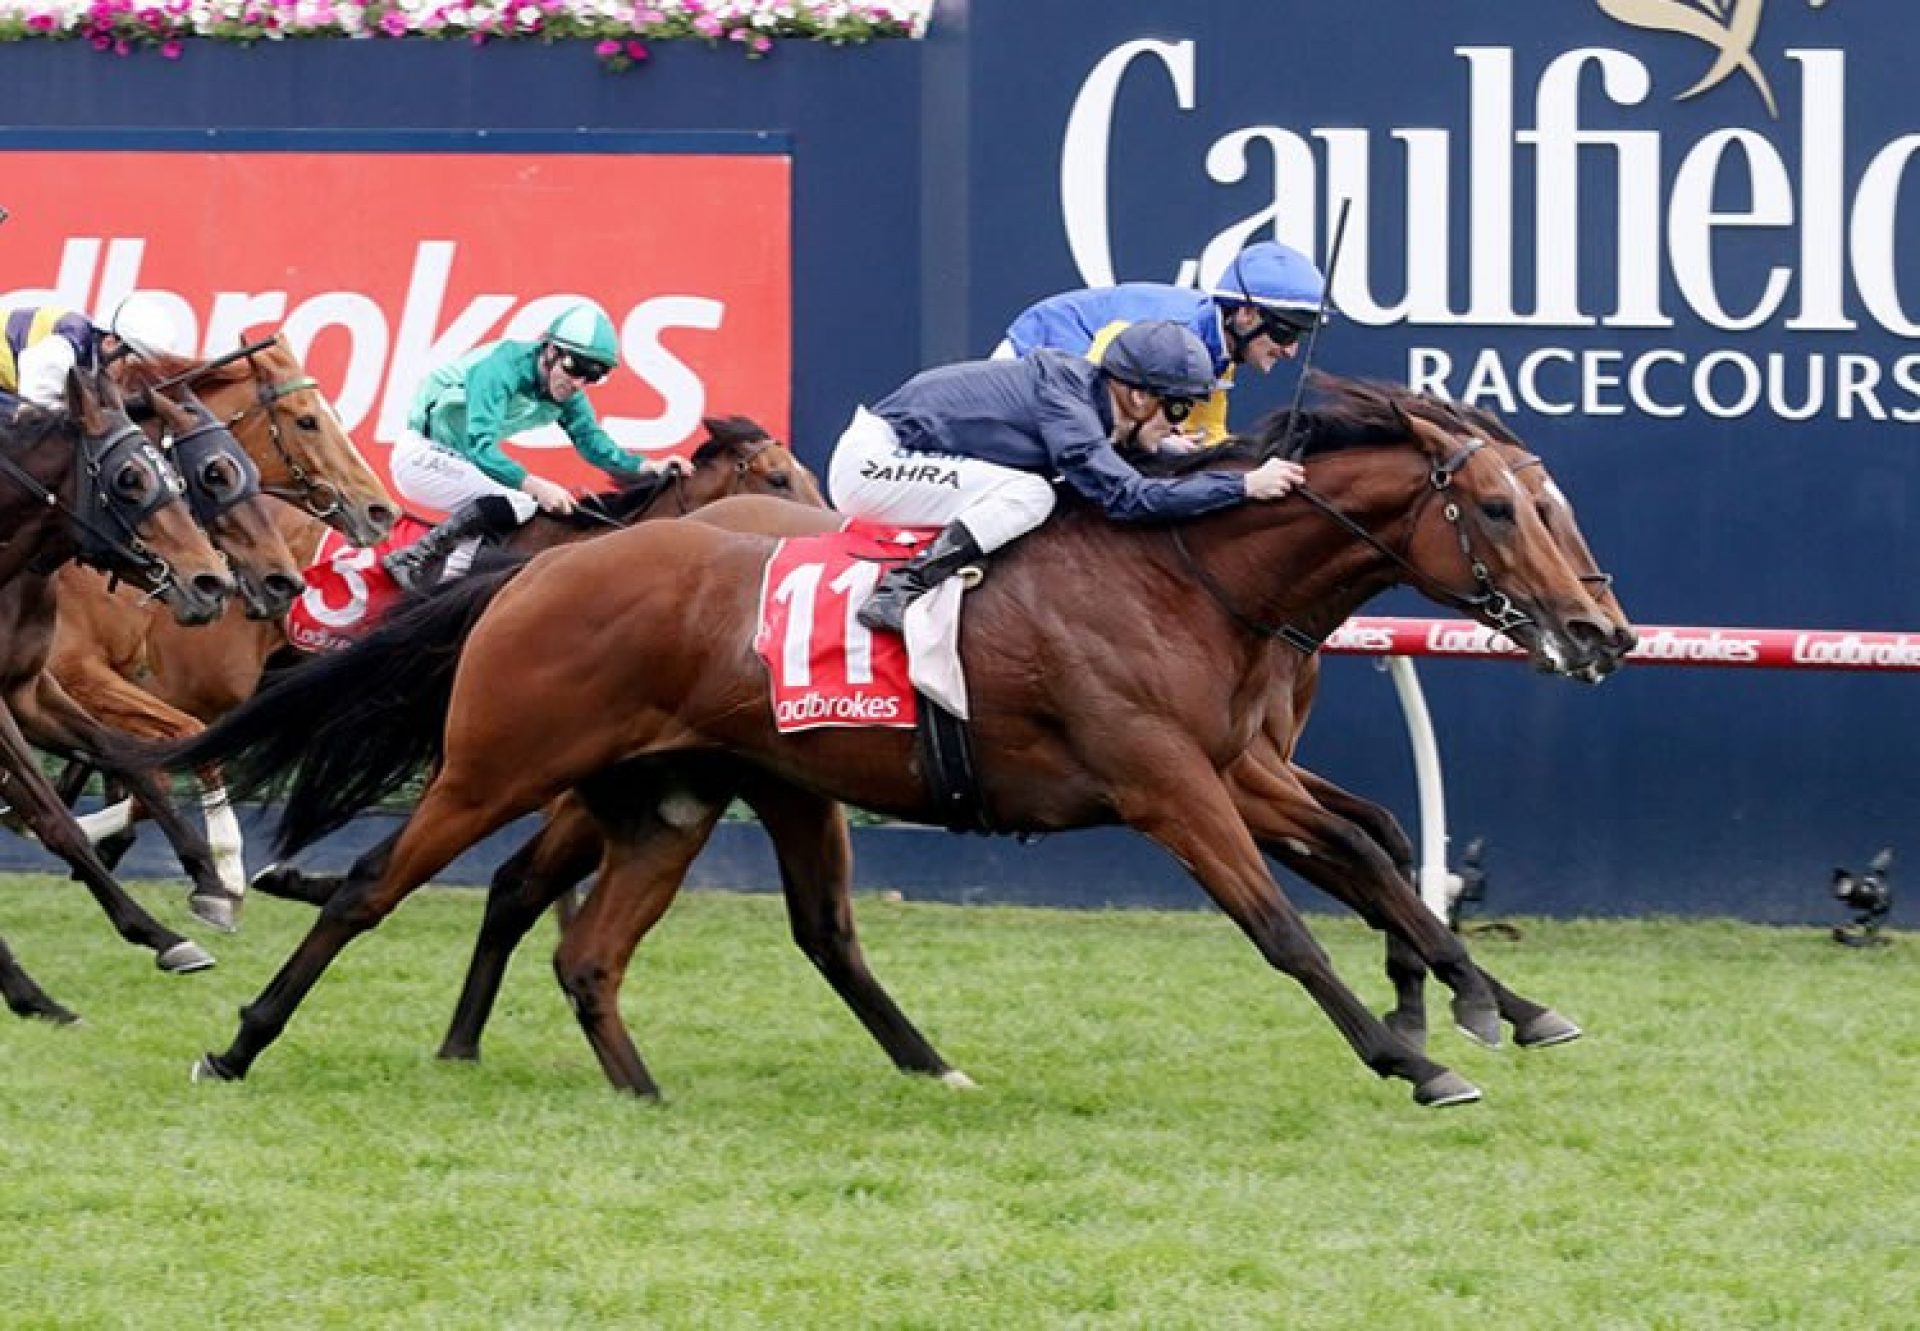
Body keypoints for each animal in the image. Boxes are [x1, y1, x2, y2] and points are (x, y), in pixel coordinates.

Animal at [0, 363, 238, 1014]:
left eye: (175, 477)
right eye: (129, 478)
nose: (212, 582)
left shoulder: (27, 690)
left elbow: (123, 755)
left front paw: (208, 886)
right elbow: (55, 816)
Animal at [149, 370, 1628, 1098]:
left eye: (1551, 500)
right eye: (1504, 508)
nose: (1601, 628)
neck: (1188, 577)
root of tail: (541, 571)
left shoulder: (1237, 766)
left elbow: (1370, 852)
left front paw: (1496, 1000)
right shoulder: (1168, 782)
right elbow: (1284, 921)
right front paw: (1418, 1054)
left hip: (684, 795)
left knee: (616, 944)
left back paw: (684, 1088)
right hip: (502, 763)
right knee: (373, 888)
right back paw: (239, 1042)